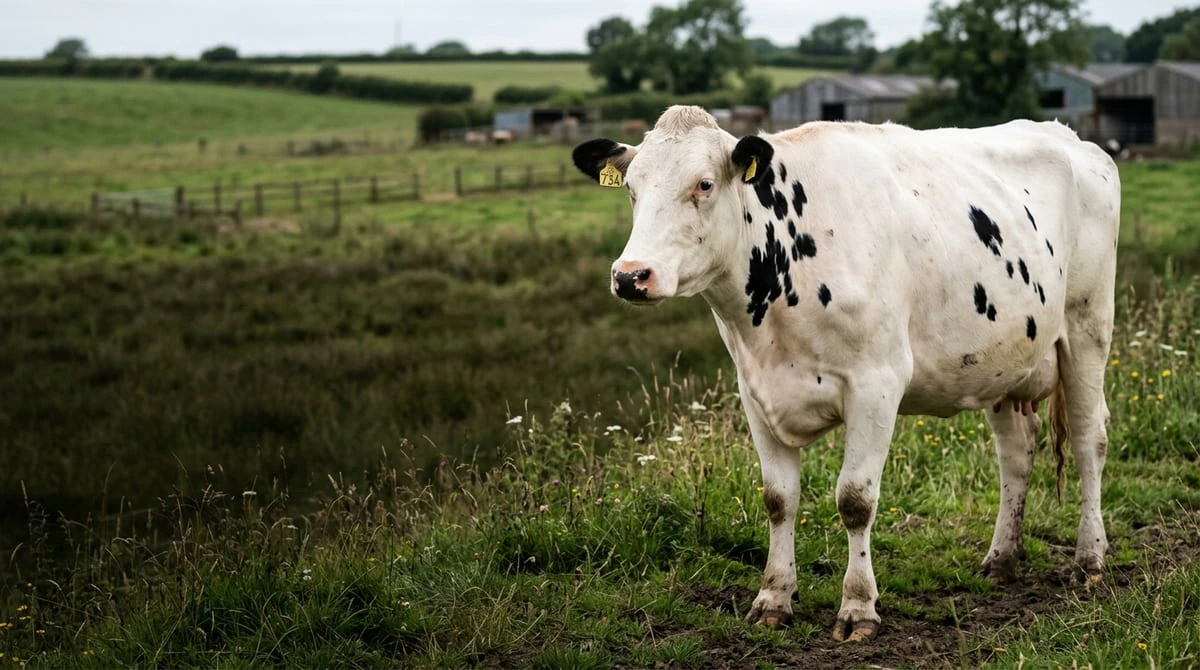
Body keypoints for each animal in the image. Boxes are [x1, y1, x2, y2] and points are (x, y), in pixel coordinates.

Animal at [572, 106, 1119, 641]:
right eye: (631, 187)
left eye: (704, 184)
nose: (630, 275)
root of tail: (1067, 135)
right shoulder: (754, 390)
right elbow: (778, 498)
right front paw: (773, 598)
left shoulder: (877, 384)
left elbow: (855, 500)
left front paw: (858, 607)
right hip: (1004, 360)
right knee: (1016, 454)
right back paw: (1002, 559)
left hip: (1087, 329)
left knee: (1090, 439)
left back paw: (1090, 559)